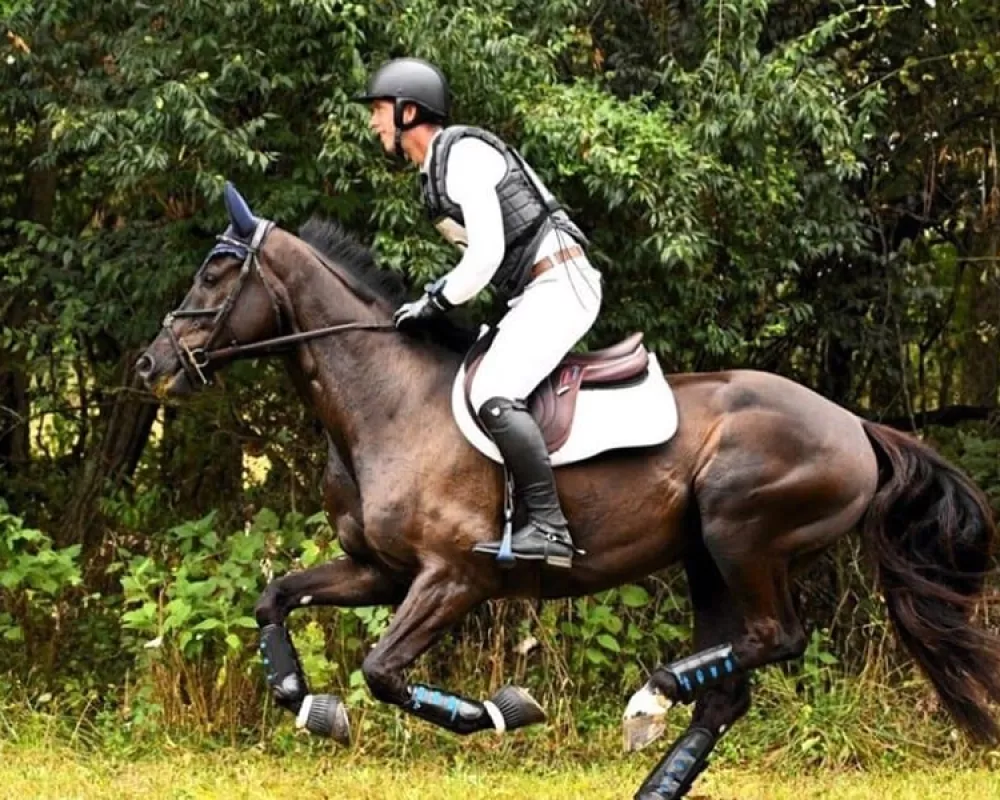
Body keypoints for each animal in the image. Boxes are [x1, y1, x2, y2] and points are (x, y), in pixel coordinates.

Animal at [135, 183, 1000, 800]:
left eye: (215, 270)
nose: (151, 365)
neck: (388, 403)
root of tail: (855, 425)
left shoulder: (454, 577)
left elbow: (383, 669)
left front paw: (500, 709)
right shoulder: (379, 571)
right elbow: (275, 598)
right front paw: (307, 702)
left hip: (742, 533)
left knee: (777, 637)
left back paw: (651, 695)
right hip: (706, 559)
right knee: (730, 692)